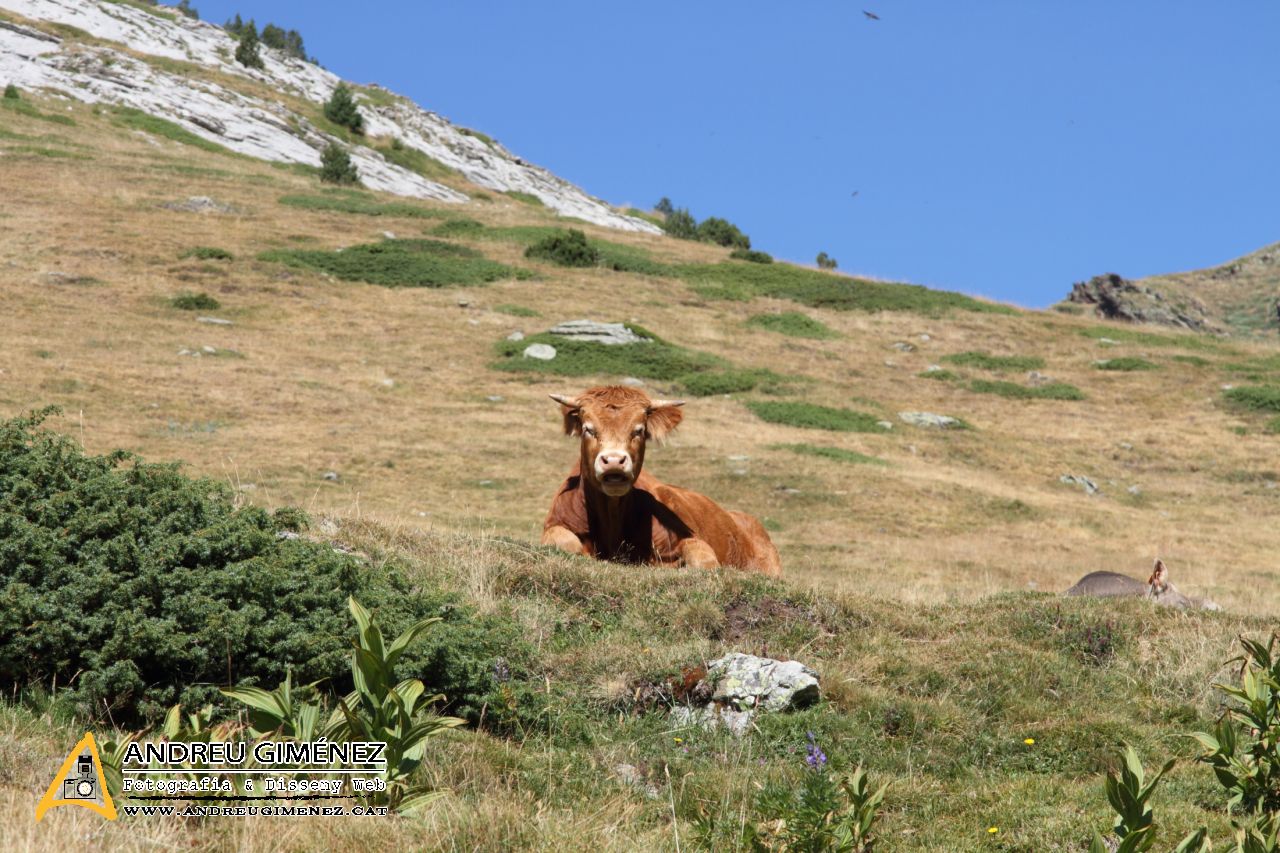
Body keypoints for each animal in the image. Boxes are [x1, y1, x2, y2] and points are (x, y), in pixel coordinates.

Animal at [540, 386, 778, 578]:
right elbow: (566, 542)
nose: (614, 461)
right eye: (588, 428)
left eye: (639, 430)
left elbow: (704, 560)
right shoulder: (554, 527)